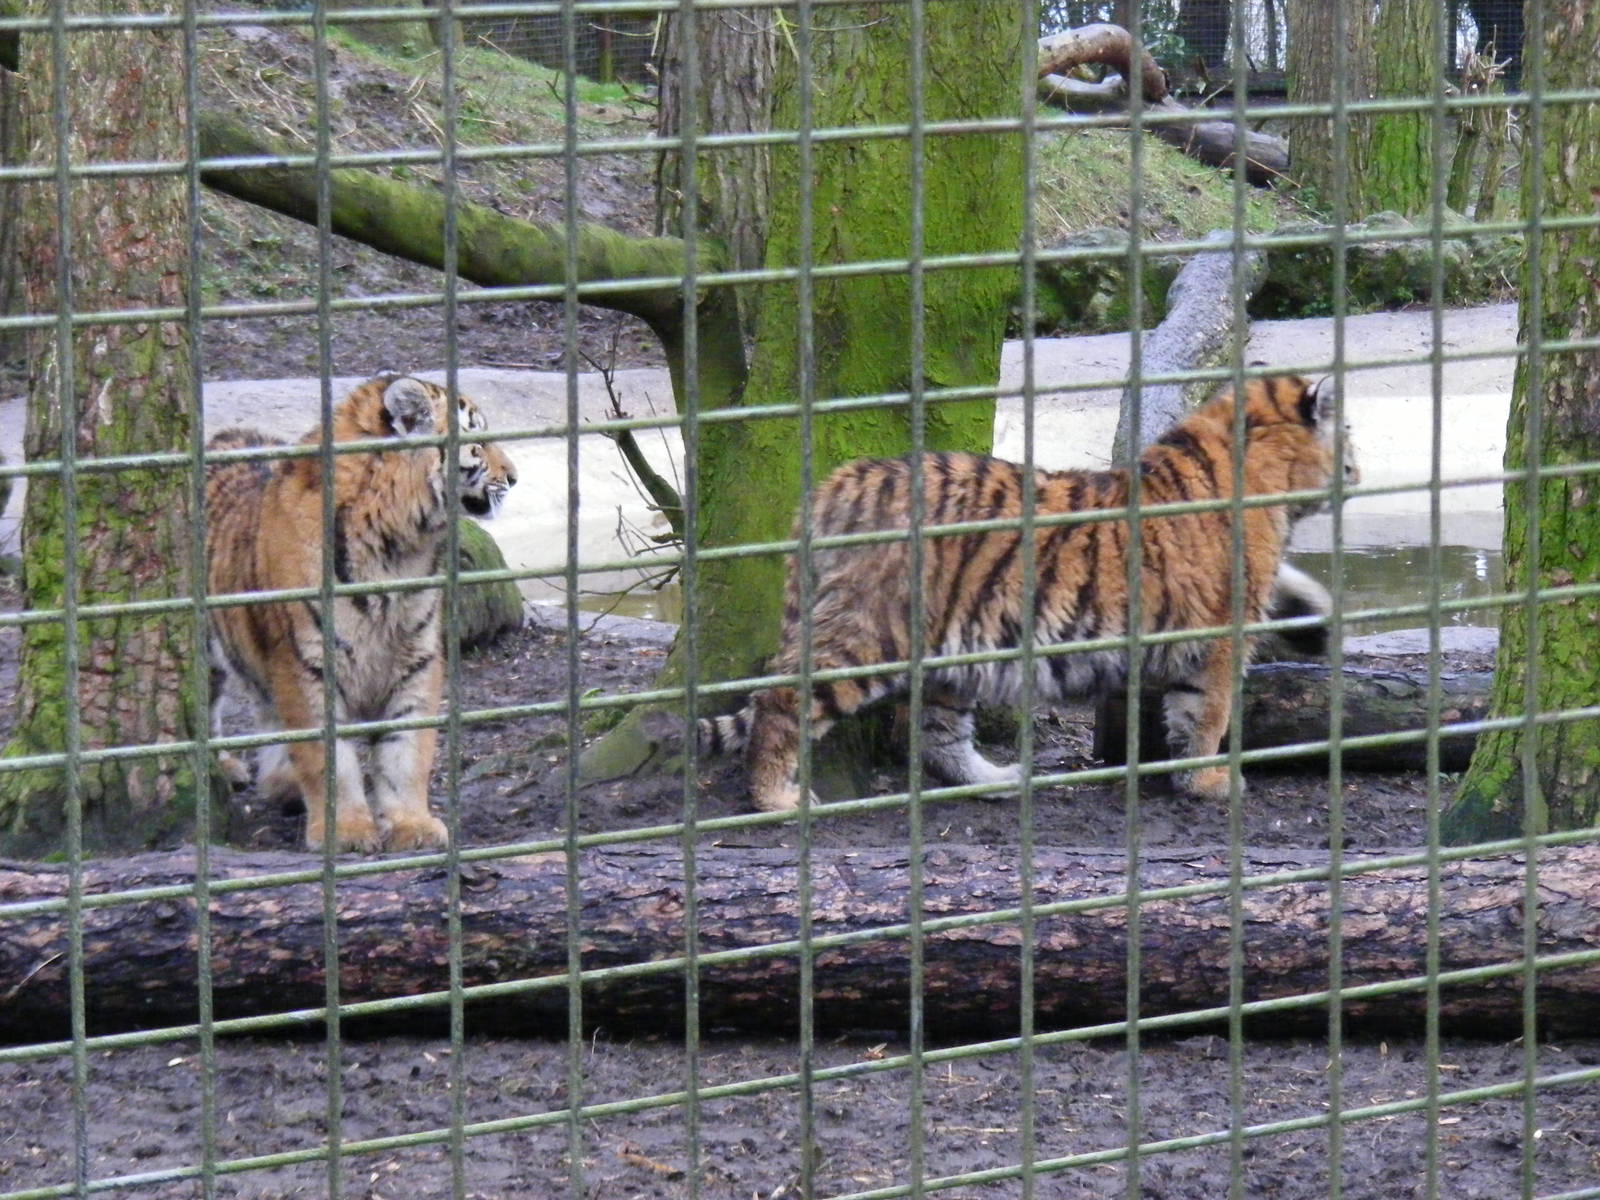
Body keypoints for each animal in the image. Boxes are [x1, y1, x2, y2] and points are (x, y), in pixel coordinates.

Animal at [205, 374, 518, 853]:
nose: (515, 478)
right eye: (477, 442)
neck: (398, 547)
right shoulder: (305, 663)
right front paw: (346, 831)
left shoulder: (417, 656)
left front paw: (412, 825)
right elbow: (327, 758)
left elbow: (407, 749)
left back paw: (281, 784)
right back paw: (226, 769)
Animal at [689, 373, 1357, 813]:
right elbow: (1207, 712)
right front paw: (1210, 782)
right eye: (1347, 435)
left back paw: (995, 778)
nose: (1359, 470)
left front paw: (1319, 618)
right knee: (783, 698)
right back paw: (775, 797)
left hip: (951, 651)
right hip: (869, 632)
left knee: (933, 734)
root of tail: (840, 483)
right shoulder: (1218, 638)